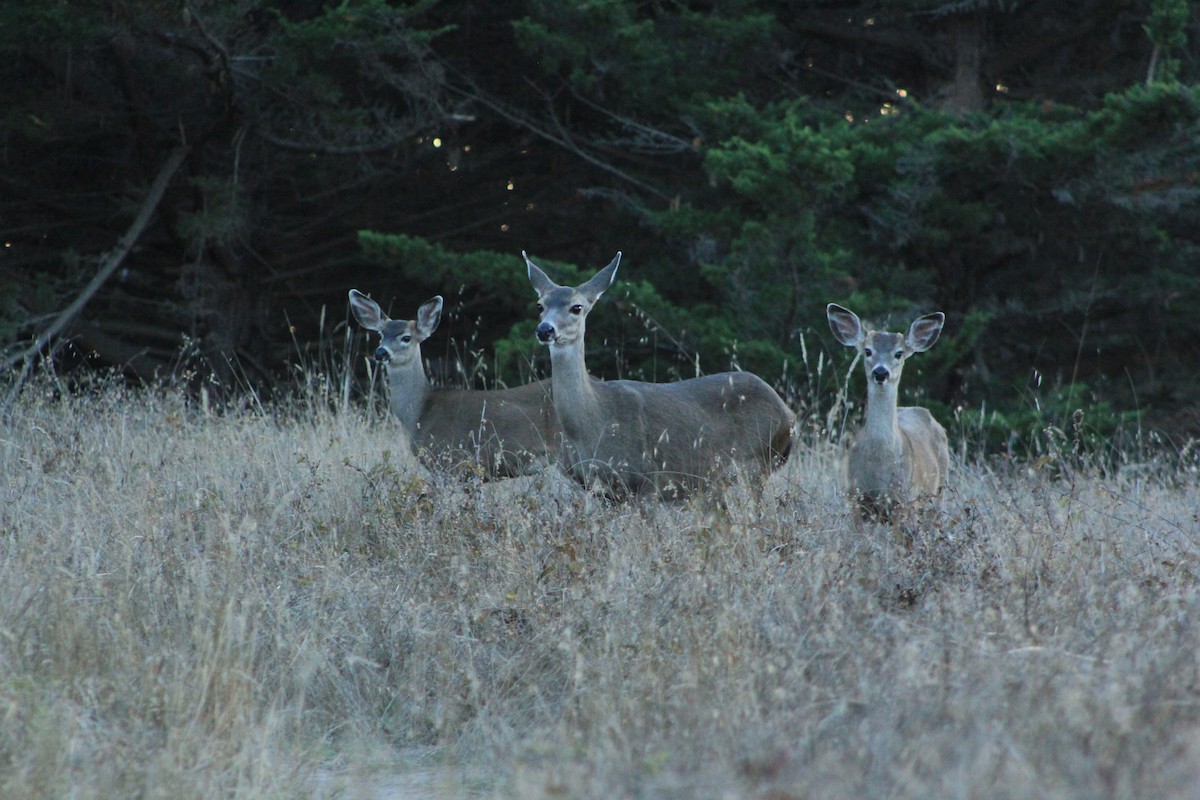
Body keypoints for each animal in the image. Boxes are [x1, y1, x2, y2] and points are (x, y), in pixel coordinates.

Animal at [525, 251, 795, 500]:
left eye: (577, 307)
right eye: (540, 305)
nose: (545, 330)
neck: (592, 422)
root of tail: (788, 415)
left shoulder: (646, 480)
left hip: (755, 463)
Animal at [826, 303, 950, 518]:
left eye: (899, 353)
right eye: (868, 351)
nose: (881, 372)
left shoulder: (905, 500)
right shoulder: (855, 497)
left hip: (938, 493)